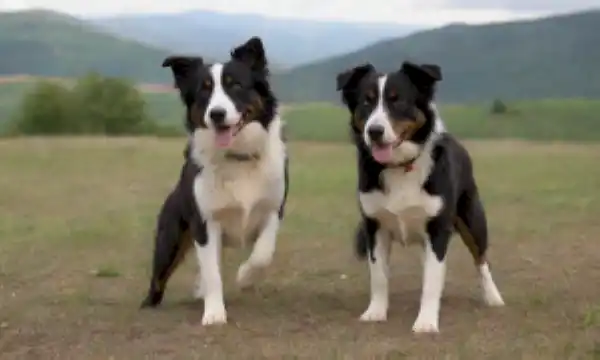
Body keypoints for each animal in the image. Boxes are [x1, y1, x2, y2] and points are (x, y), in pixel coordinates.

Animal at [142, 36, 290, 326]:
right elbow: (212, 273)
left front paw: (245, 277)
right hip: (170, 242)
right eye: (204, 90)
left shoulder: (272, 210)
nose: (217, 114)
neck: (238, 158)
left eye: (236, 85)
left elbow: (262, 254)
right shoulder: (205, 223)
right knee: (158, 282)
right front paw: (213, 313)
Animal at [336, 60, 504, 334]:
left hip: (472, 219)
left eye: (397, 100)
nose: (374, 131)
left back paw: (493, 297)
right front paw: (375, 312)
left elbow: (432, 280)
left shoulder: (437, 229)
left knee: (482, 259)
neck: (400, 166)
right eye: (366, 102)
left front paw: (426, 322)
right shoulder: (375, 226)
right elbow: (379, 276)